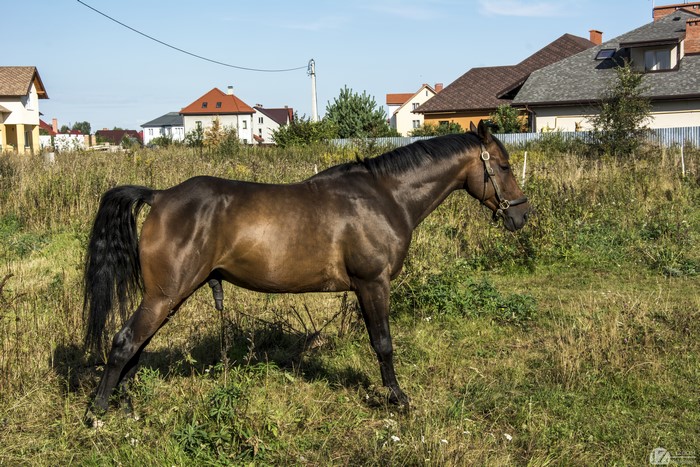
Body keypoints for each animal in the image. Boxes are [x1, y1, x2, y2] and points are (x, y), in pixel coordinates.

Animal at [83, 120, 529, 415]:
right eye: (504, 166)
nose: (521, 215)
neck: (386, 197)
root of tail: (159, 196)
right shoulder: (373, 284)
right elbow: (383, 344)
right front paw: (397, 399)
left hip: (167, 297)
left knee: (136, 347)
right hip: (164, 295)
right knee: (125, 342)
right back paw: (98, 410)